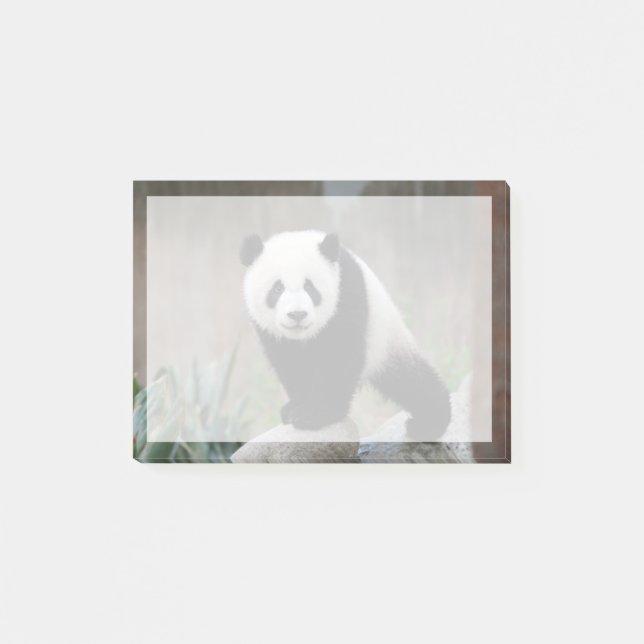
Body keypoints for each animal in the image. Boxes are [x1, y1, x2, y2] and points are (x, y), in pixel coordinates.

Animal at [240, 230, 451, 440]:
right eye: (277, 288)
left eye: (310, 287)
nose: (297, 314)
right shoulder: (271, 332)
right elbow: (290, 365)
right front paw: (295, 408)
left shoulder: (346, 296)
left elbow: (340, 358)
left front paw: (317, 414)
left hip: (386, 340)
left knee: (412, 380)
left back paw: (429, 422)